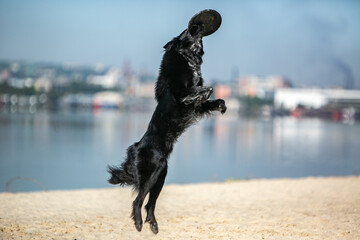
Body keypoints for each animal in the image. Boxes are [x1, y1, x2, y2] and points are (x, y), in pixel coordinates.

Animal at [107, 9, 226, 234]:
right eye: (186, 32)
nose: (197, 26)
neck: (187, 59)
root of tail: (134, 149)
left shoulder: (197, 106)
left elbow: (212, 98)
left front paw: (221, 106)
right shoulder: (180, 93)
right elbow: (206, 89)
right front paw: (203, 95)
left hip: (161, 175)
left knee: (149, 204)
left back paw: (153, 224)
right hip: (152, 173)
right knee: (137, 201)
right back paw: (138, 223)